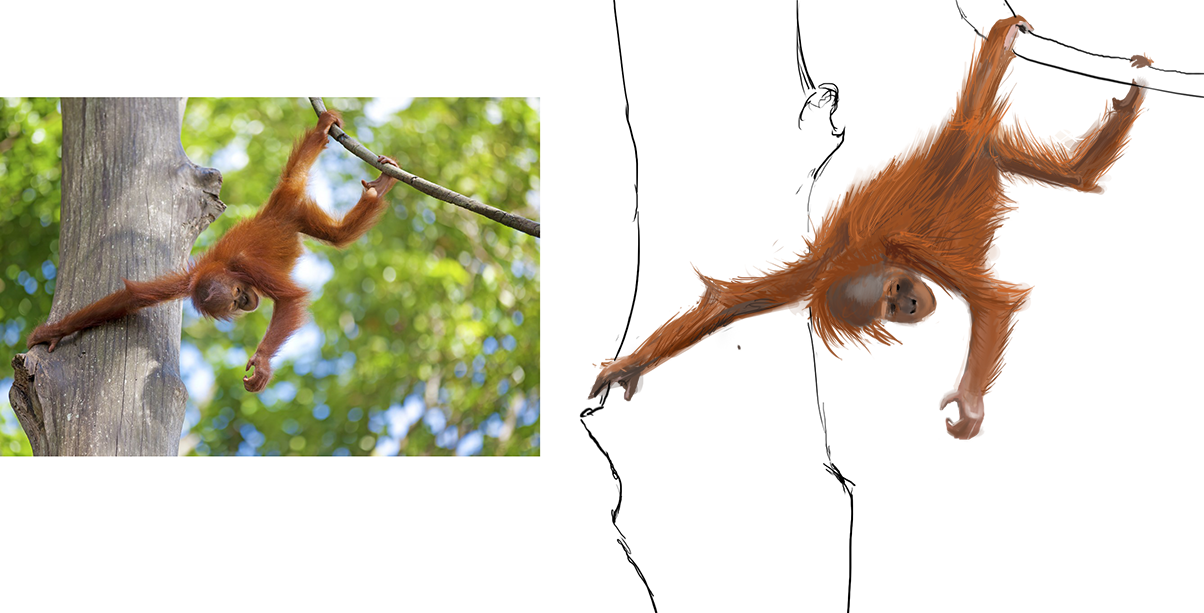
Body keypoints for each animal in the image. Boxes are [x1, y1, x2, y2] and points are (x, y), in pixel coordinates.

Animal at [25, 110, 400, 393]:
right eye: (235, 302)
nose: (247, 303)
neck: (226, 267)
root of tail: (272, 209)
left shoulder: (250, 267)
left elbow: (291, 299)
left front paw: (262, 363)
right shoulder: (188, 280)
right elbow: (133, 295)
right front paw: (50, 333)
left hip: (290, 200)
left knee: (318, 202)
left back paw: (349, 159)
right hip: (297, 213)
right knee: (337, 234)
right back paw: (378, 190)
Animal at [589, 16, 1144, 439]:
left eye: (898, 292)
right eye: (890, 306)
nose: (913, 305)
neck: (871, 255)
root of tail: (954, 139)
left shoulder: (914, 249)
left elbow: (993, 301)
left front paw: (969, 406)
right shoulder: (814, 272)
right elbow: (730, 304)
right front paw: (628, 365)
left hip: (973, 143)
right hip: (991, 150)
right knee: (1072, 177)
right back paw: (1111, 126)